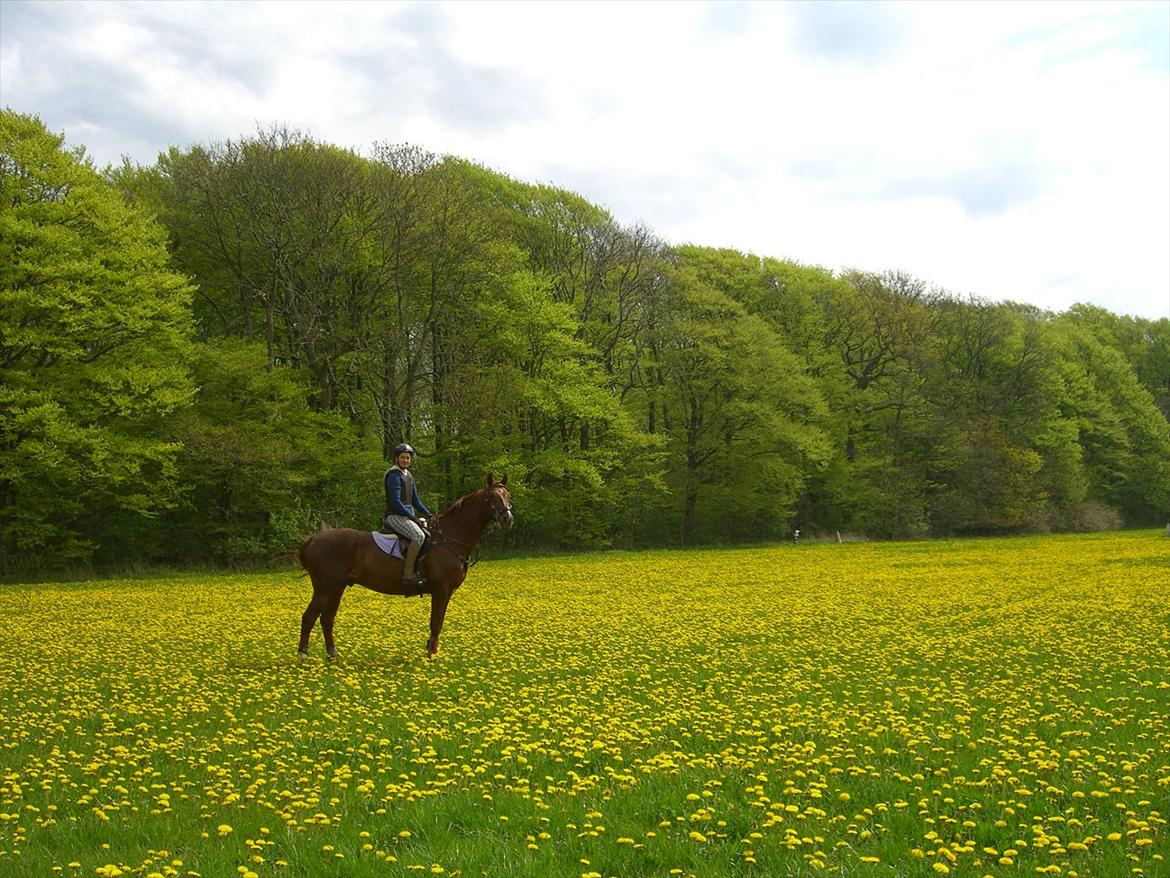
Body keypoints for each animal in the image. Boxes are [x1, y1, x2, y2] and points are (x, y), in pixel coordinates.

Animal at [292, 475, 512, 660]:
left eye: (508, 495)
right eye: (492, 496)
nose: (507, 519)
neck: (448, 537)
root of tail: (313, 540)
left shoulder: (447, 591)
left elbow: (438, 622)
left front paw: (433, 651)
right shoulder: (440, 589)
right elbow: (436, 622)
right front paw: (431, 655)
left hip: (337, 588)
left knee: (327, 619)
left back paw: (333, 655)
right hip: (324, 589)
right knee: (309, 617)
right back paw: (303, 655)